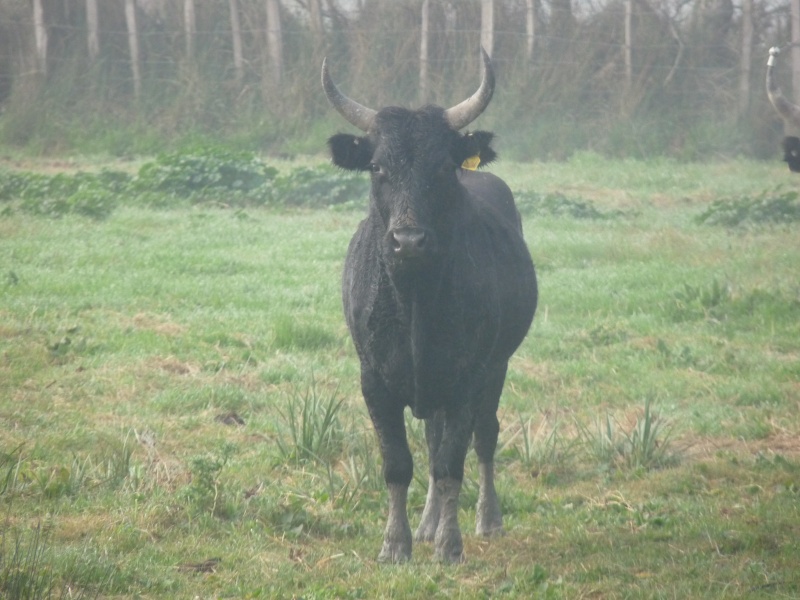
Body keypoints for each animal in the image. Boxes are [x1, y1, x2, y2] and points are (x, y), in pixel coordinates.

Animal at [324, 50, 536, 564]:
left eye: (442, 168)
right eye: (377, 167)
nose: (408, 240)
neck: (415, 302)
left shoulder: (468, 377)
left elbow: (450, 464)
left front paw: (449, 544)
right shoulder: (374, 381)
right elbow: (399, 463)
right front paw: (396, 543)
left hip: (496, 368)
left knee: (484, 437)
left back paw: (486, 518)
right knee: (433, 438)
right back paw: (425, 523)